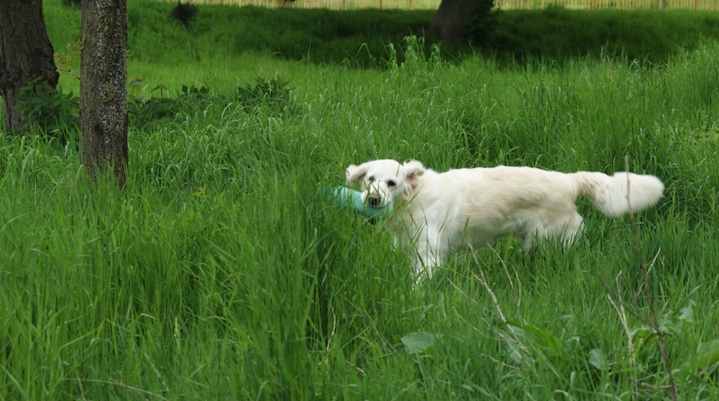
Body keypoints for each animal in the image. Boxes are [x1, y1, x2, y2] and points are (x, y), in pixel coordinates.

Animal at [346, 159, 668, 278]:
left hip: (549, 240)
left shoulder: (429, 256)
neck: (414, 198)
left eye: (391, 183)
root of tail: (569, 181)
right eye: (370, 179)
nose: (373, 199)